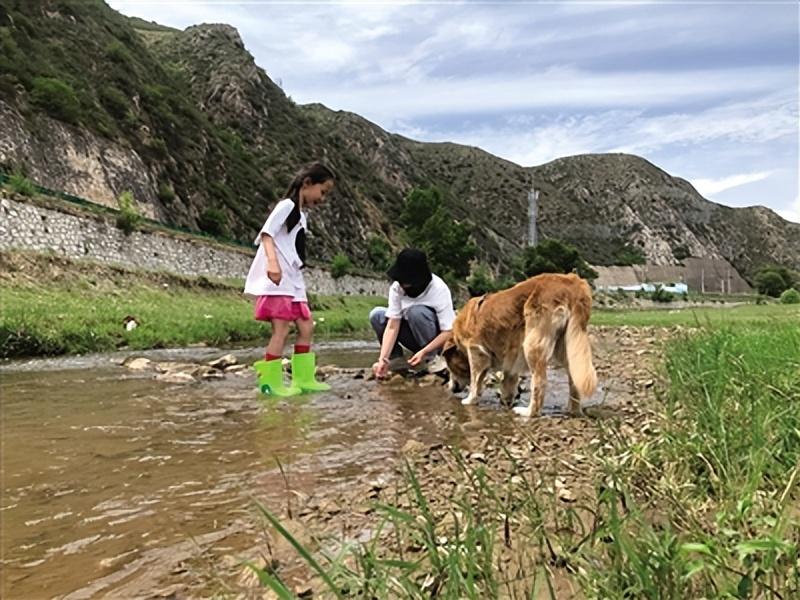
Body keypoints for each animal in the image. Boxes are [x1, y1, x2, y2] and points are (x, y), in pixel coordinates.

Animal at [444, 274, 592, 418]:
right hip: (567, 346)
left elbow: (475, 380)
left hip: (532, 343)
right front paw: (506, 400)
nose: (450, 388)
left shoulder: (476, 351)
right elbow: (509, 378)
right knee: (574, 379)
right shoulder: (512, 354)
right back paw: (573, 411)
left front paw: (470, 400)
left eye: (450, 367)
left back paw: (528, 412)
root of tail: (573, 283)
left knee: (540, 382)